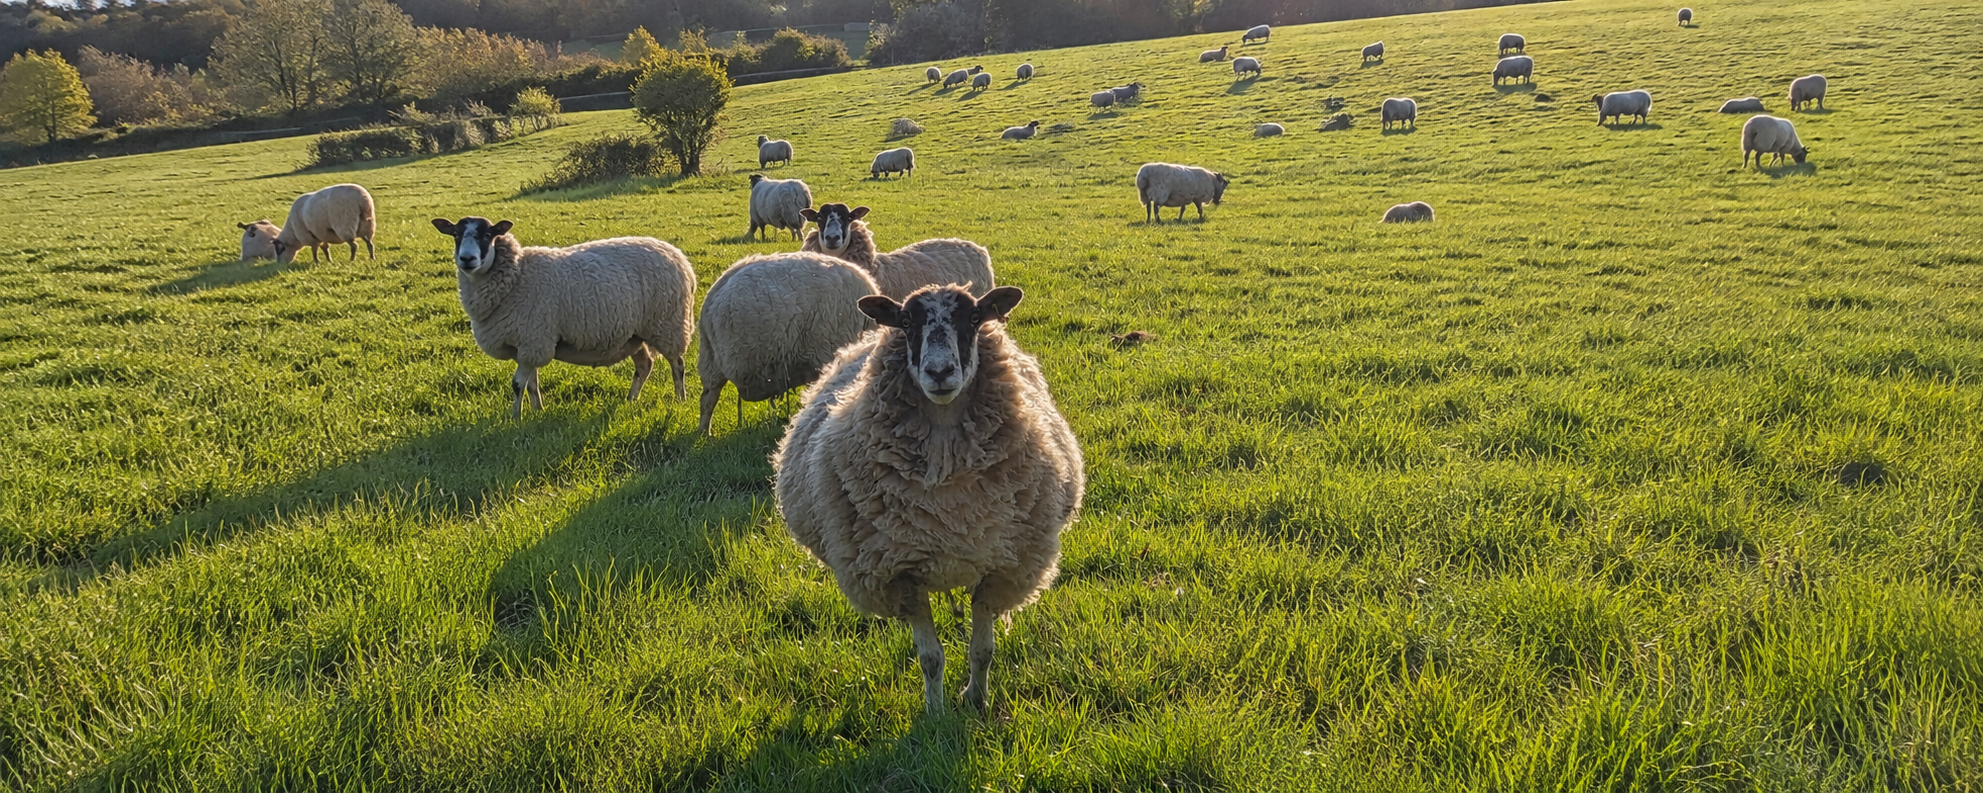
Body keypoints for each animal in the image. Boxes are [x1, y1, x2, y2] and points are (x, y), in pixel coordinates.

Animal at [428, 217, 696, 419]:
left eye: (487, 235)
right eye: (455, 234)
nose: (467, 259)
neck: (517, 275)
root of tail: (681, 258)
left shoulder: (533, 341)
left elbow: (517, 385)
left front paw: (516, 417)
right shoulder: (528, 345)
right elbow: (532, 383)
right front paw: (538, 411)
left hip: (668, 324)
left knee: (677, 365)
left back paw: (680, 400)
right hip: (634, 334)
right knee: (644, 366)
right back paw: (630, 400)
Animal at [696, 252, 879, 435]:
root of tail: (711, 300)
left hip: (709, 357)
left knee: (706, 398)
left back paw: (704, 432)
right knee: (709, 399)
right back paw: (706, 433)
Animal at [773, 284, 1083, 715]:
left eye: (974, 318)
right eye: (906, 322)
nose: (939, 372)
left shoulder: (998, 567)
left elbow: (983, 651)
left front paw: (976, 700)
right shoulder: (901, 573)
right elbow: (930, 658)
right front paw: (935, 713)